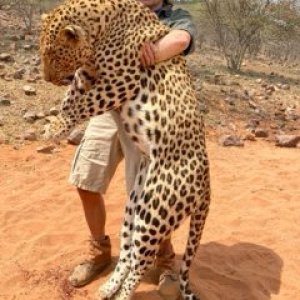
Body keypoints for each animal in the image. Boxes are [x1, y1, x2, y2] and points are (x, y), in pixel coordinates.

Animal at [39, 0, 211, 300]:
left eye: (54, 56)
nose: (47, 79)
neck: (102, 27)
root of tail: (208, 185)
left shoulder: (122, 81)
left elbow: (84, 103)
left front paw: (56, 127)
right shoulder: (88, 75)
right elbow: (73, 98)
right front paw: (57, 121)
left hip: (156, 209)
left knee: (142, 260)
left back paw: (121, 294)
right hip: (136, 204)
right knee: (129, 254)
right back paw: (107, 288)